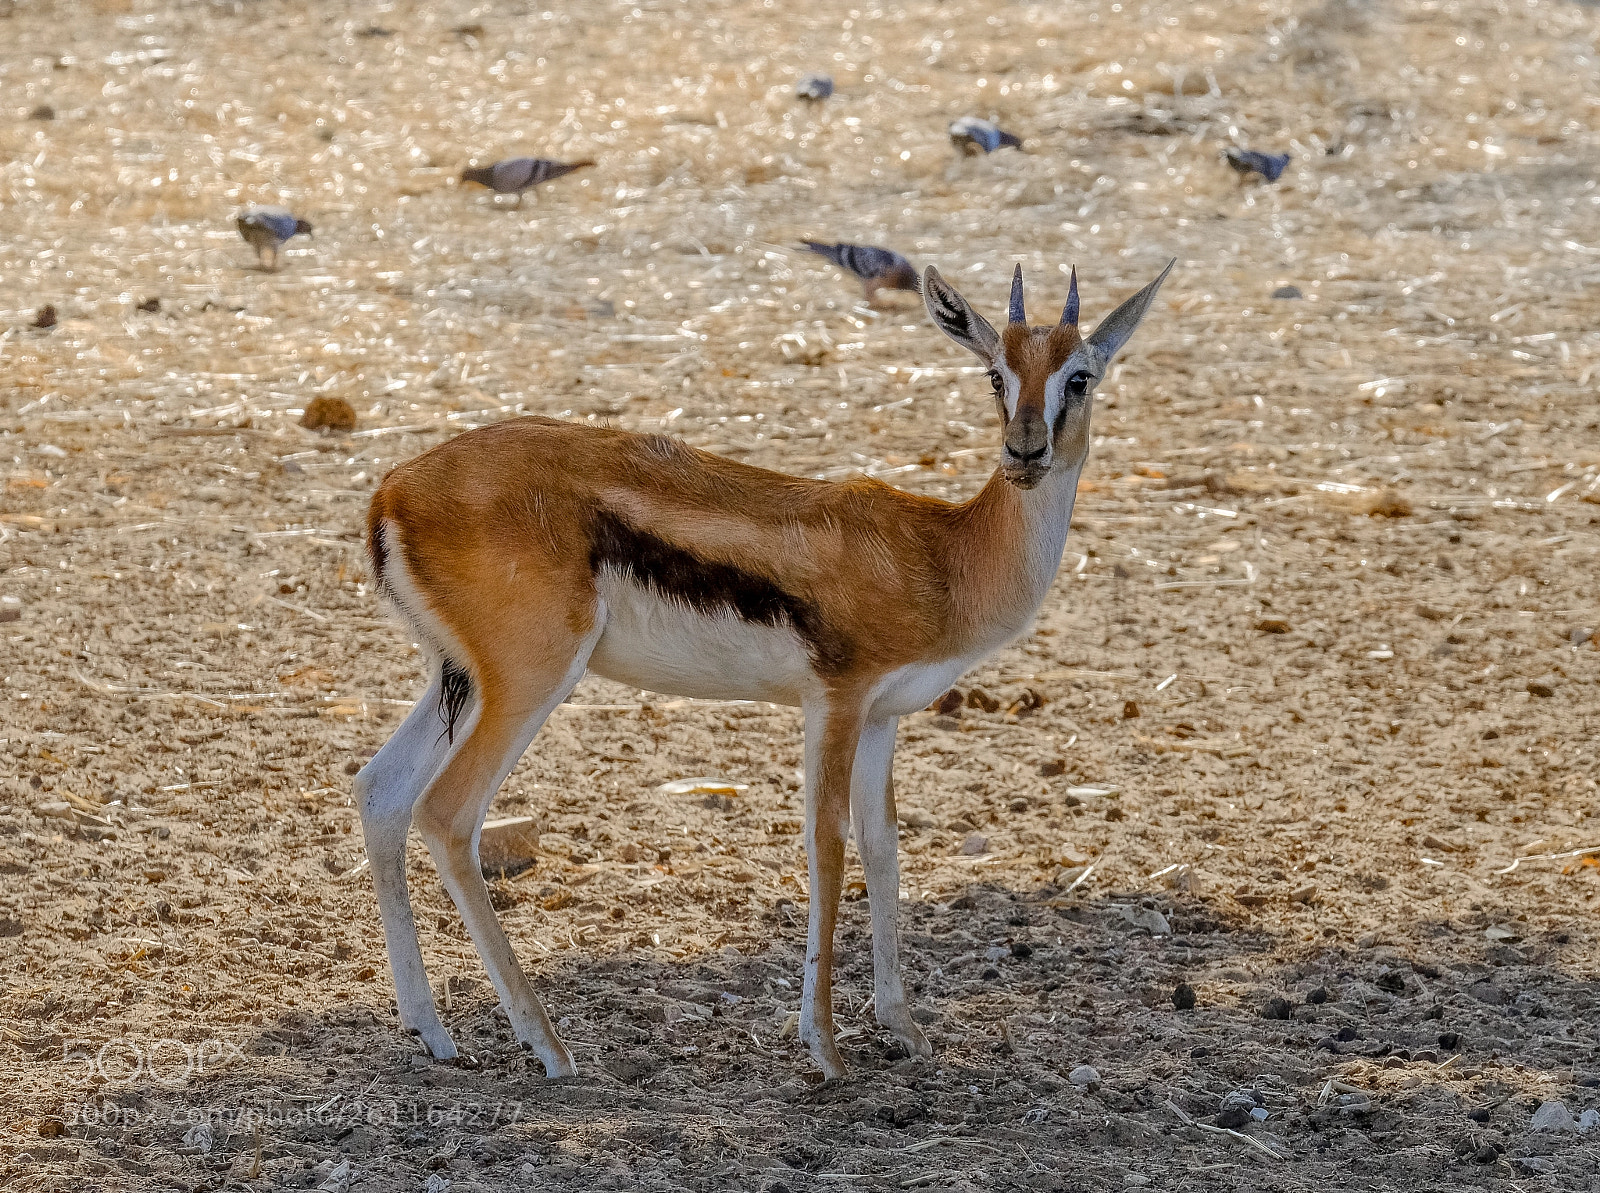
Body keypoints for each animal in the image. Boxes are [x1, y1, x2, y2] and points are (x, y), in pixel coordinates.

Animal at [354, 258, 1175, 1079]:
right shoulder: (836, 701)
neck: (945, 553)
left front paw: (901, 1027)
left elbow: (883, 848)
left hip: (460, 681)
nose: (1026, 451)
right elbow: (828, 845)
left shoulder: (883, 718)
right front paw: (826, 1048)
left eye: (1080, 376)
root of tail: (394, 485)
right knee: (448, 814)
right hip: (529, 683)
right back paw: (551, 1048)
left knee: (380, 791)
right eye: (995, 372)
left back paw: (431, 1030)